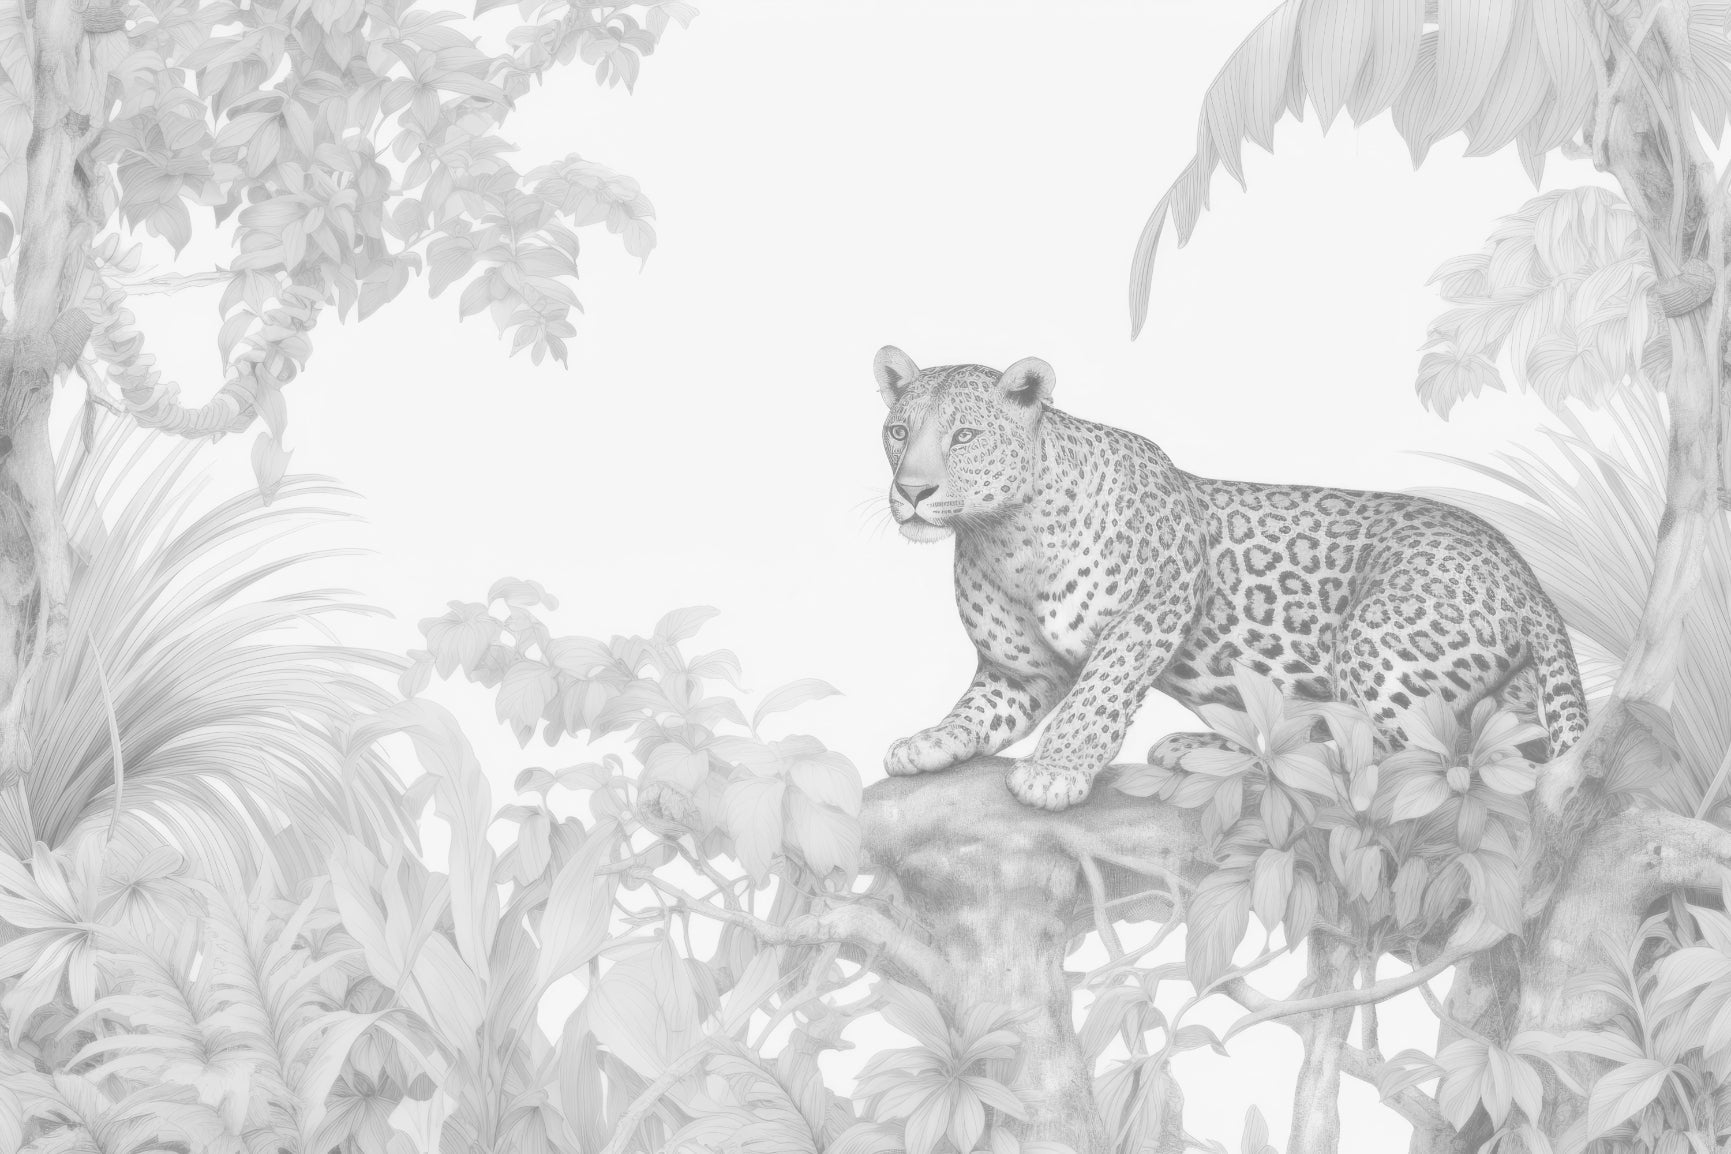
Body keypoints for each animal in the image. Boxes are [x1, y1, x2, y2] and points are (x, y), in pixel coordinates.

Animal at [874, 345, 1588, 812]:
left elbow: (1097, 694)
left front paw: (1055, 771)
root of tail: (1526, 579)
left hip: (1375, 642)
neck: (1005, 536)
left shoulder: (1154, 606)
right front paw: (929, 740)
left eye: (965, 436)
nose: (912, 492)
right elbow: (980, 710)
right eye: (898, 431)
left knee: (1405, 762)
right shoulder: (1021, 669)